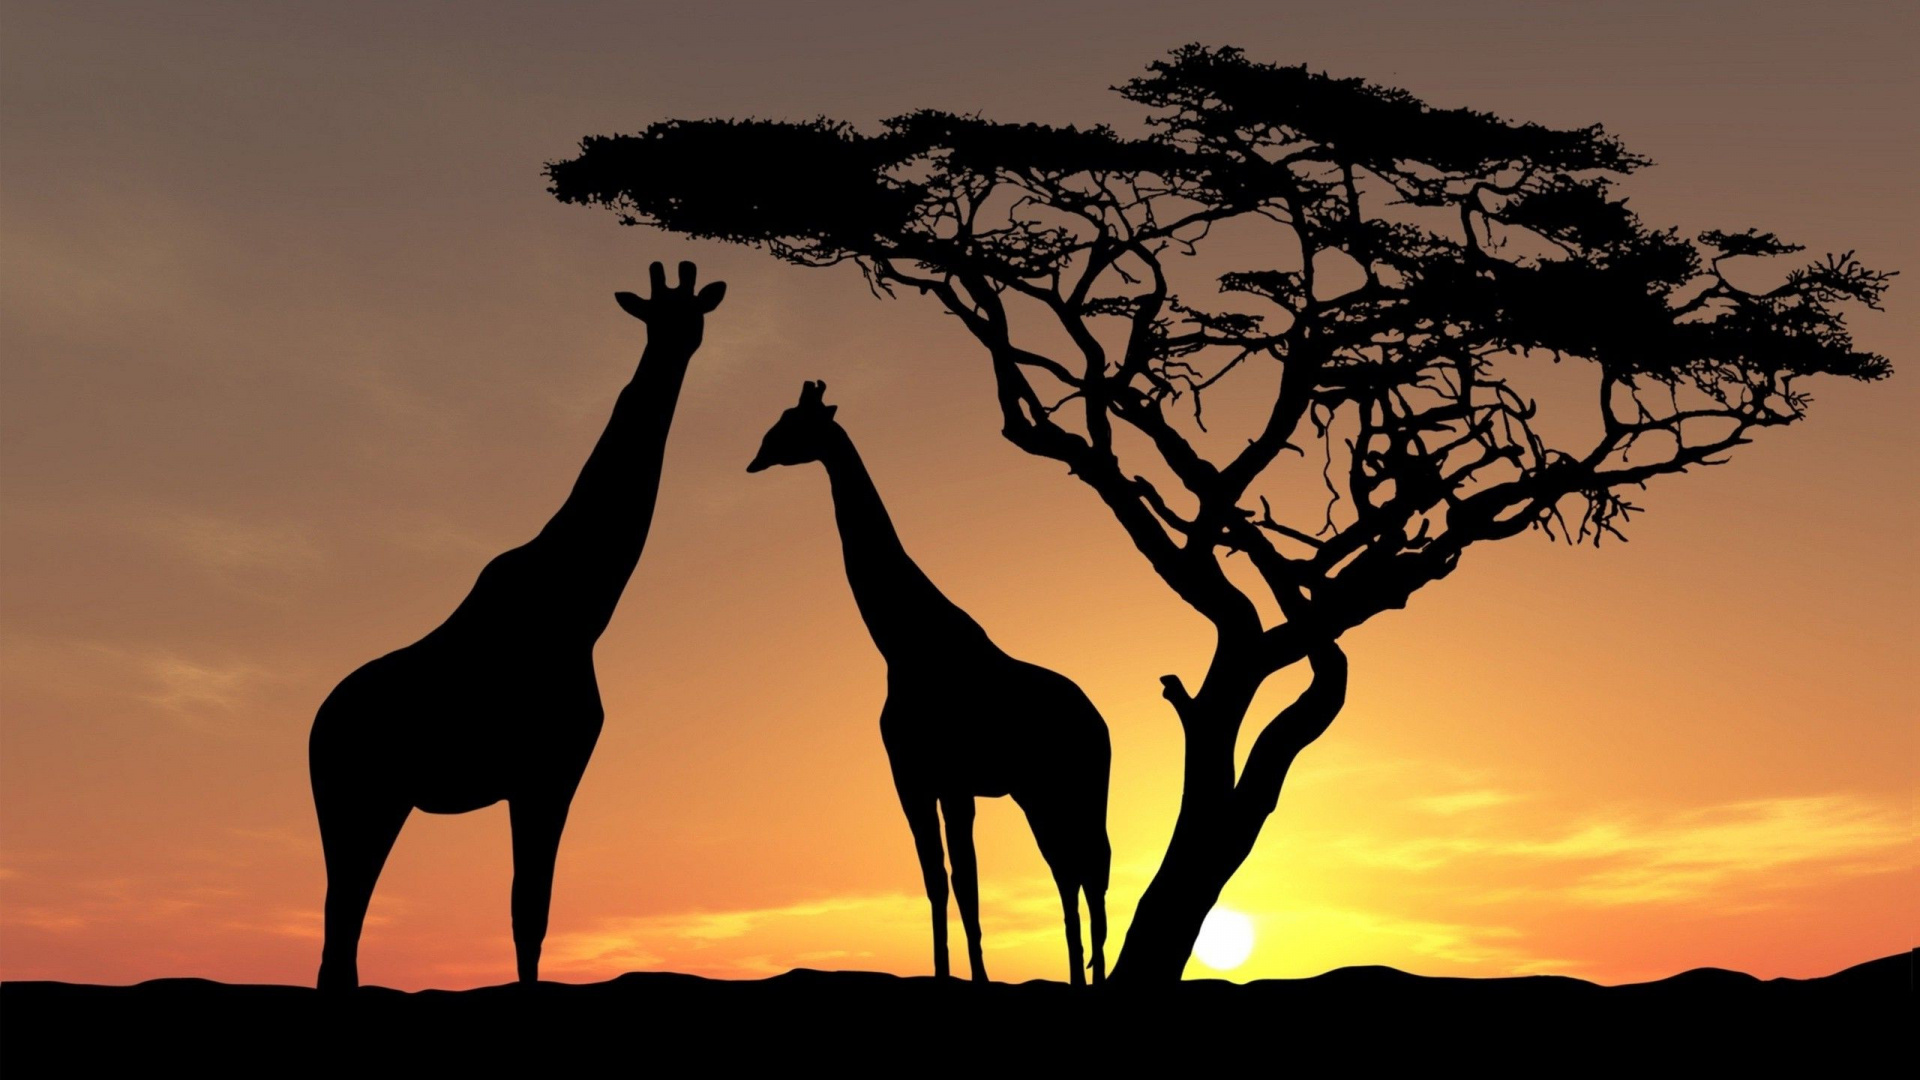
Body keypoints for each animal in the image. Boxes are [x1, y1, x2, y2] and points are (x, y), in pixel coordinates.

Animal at [307, 261, 725, 990]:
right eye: (654, 317)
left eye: (693, 314)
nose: (677, 348)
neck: (580, 609)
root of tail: (313, 731)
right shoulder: (547, 770)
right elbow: (529, 912)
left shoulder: (547, 773)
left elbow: (530, 914)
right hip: (359, 798)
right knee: (342, 926)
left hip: (373, 802)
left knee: (342, 932)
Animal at [748, 381, 1112, 985]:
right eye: (777, 421)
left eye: (793, 425)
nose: (755, 458)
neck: (903, 644)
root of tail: (1100, 722)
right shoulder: (912, 777)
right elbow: (936, 880)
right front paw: (944, 974)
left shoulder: (954, 780)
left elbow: (966, 880)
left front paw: (980, 979)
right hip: (1038, 793)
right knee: (1071, 869)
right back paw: (1081, 974)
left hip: (1073, 786)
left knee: (1088, 867)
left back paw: (1092, 975)